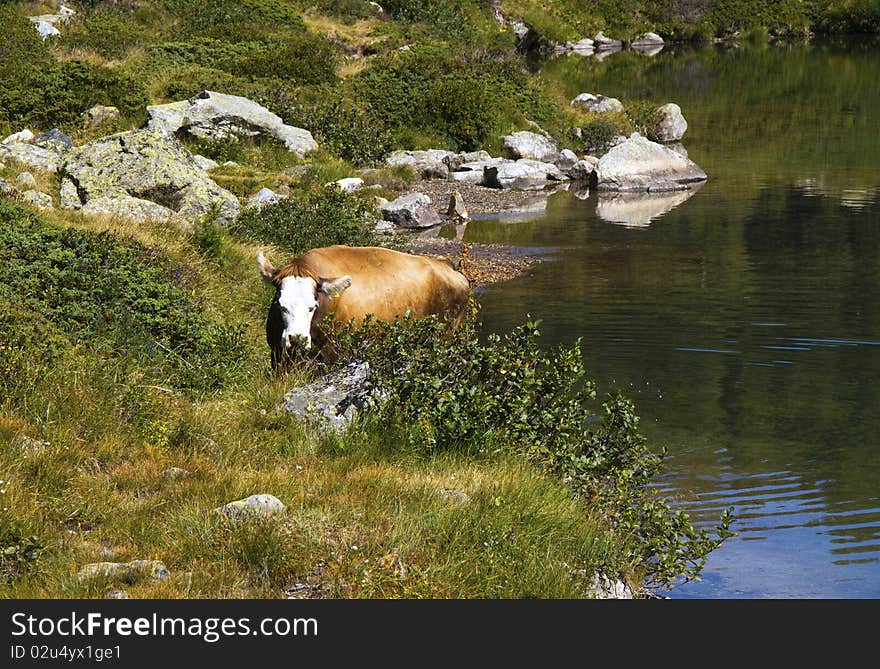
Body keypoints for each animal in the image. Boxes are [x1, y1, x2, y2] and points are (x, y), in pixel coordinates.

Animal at [258, 244, 470, 362]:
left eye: (313, 306)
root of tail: (448, 266)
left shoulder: (333, 355)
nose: (296, 339)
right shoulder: (276, 355)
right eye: (280, 304)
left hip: (447, 335)